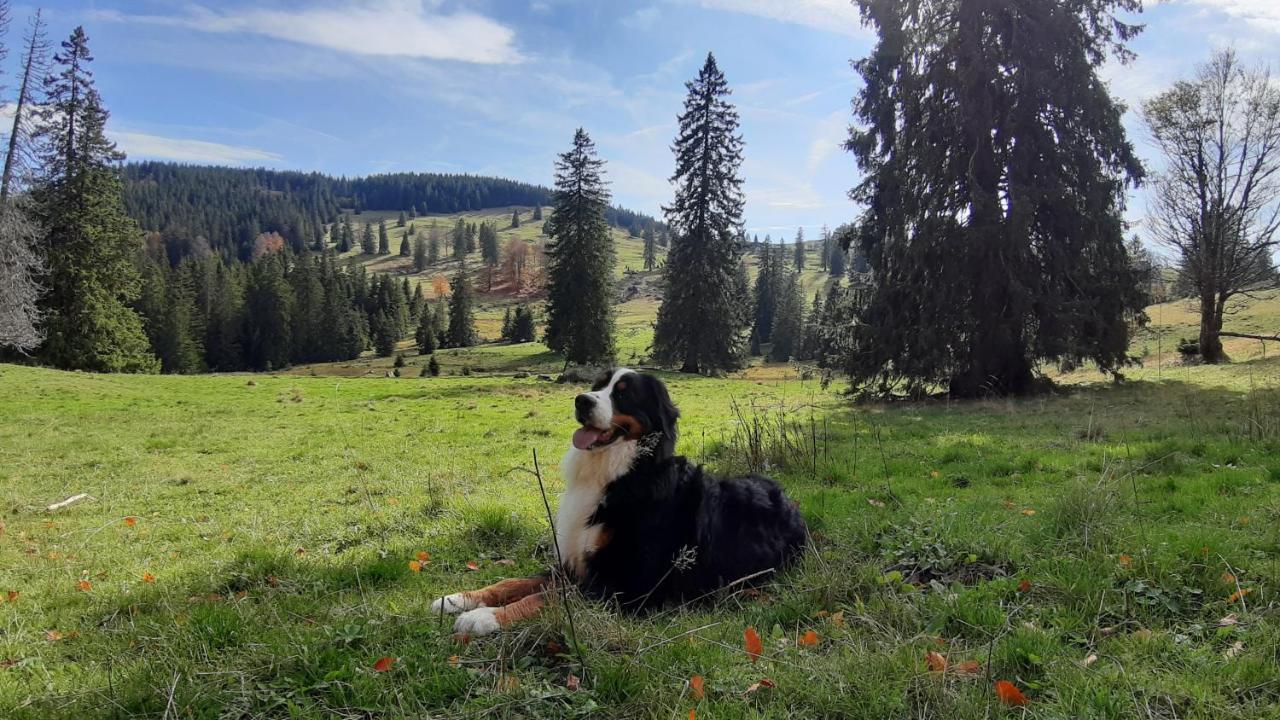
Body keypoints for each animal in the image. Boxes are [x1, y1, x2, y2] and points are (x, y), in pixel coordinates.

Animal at [435, 368, 803, 632]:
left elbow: (546, 597)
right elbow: (513, 582)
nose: (581, 400)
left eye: (623, 393)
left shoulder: (625, 585)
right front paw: (457, 599)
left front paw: (484, 618)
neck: (619, 474)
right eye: (598, 384)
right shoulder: (575, 564)